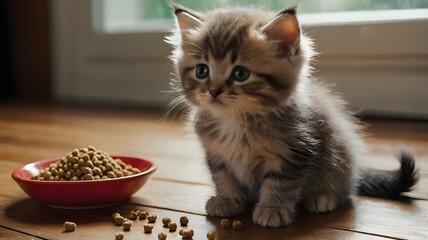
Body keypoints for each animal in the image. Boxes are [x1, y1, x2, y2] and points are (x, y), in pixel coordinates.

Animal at [166, 4, 418, 228]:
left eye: (240, 74)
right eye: (202, 71)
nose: (214, 91)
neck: (236, 122)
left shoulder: (293, 152)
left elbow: (280, 184)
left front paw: (273, 209)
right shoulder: (216, 154)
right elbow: (224, 178)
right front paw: (228, 201)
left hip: (339, 158)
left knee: (345, 189)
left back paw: (321, 198)